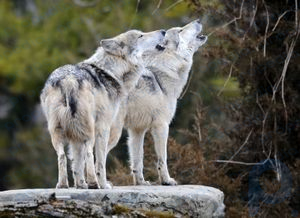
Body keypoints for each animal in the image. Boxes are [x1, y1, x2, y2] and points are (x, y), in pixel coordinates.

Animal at [39, 29, 165, 189]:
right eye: (140, 35)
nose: (163, 31)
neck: (110, 72)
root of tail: (69, 80)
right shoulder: (103, 127)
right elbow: (100, 161)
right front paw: (102, 184)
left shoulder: (75, 136)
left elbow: (77, 164)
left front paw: (80, 185)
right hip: (89, 131)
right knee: (89, 154)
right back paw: (95, 183)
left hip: (58, 132)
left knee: (62, 156)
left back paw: (63, 185)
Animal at [108, 19, 209, 186]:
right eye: (180, 30)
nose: (199, 20)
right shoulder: (161, 126)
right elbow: (163, 158)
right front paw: (166, 180)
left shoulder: (137, 130)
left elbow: (138, 160)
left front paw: (141, 183)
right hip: (113, 133)